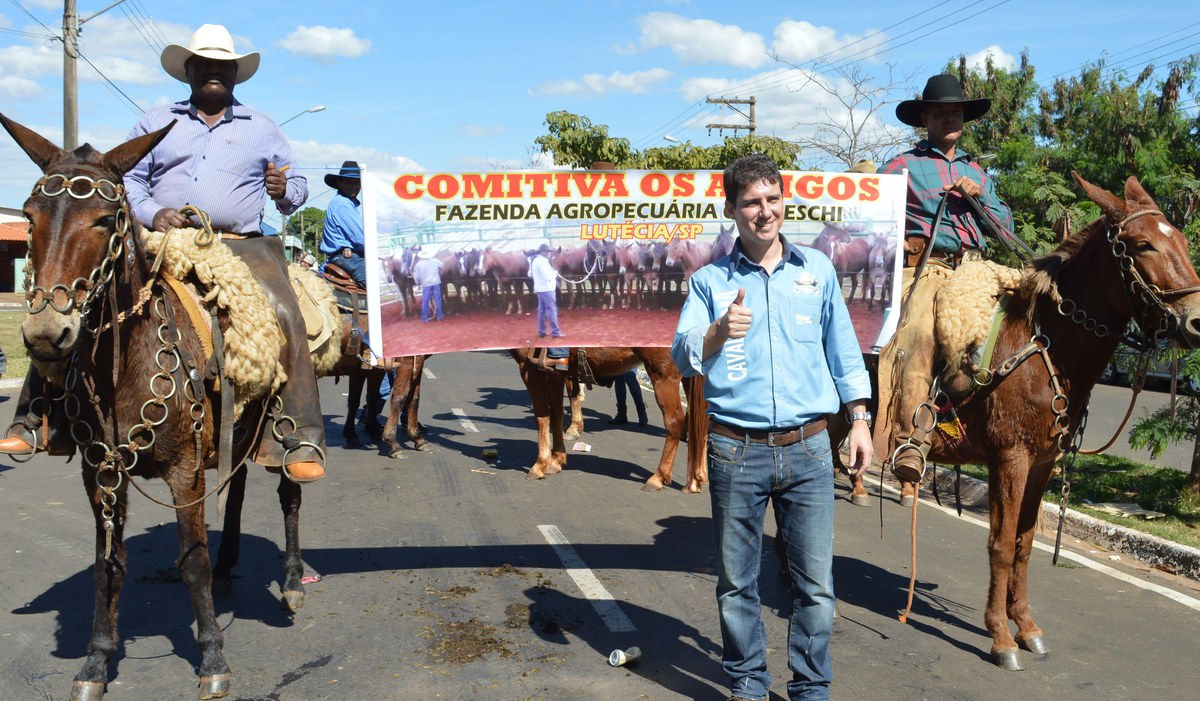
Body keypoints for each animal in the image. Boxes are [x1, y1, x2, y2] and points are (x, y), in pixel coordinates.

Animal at [2, 112, 312, 696]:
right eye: (29, 217)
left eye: (105, 220)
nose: (47, 334)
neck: (126, 363)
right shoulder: (100, 472)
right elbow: (109, 564)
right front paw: (96, 661)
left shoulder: (185, 471)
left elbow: (191, 560)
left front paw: (212, 656)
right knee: (236, 486)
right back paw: (230, 565)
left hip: (281, 425)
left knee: (289, 490)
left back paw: (290, 579)